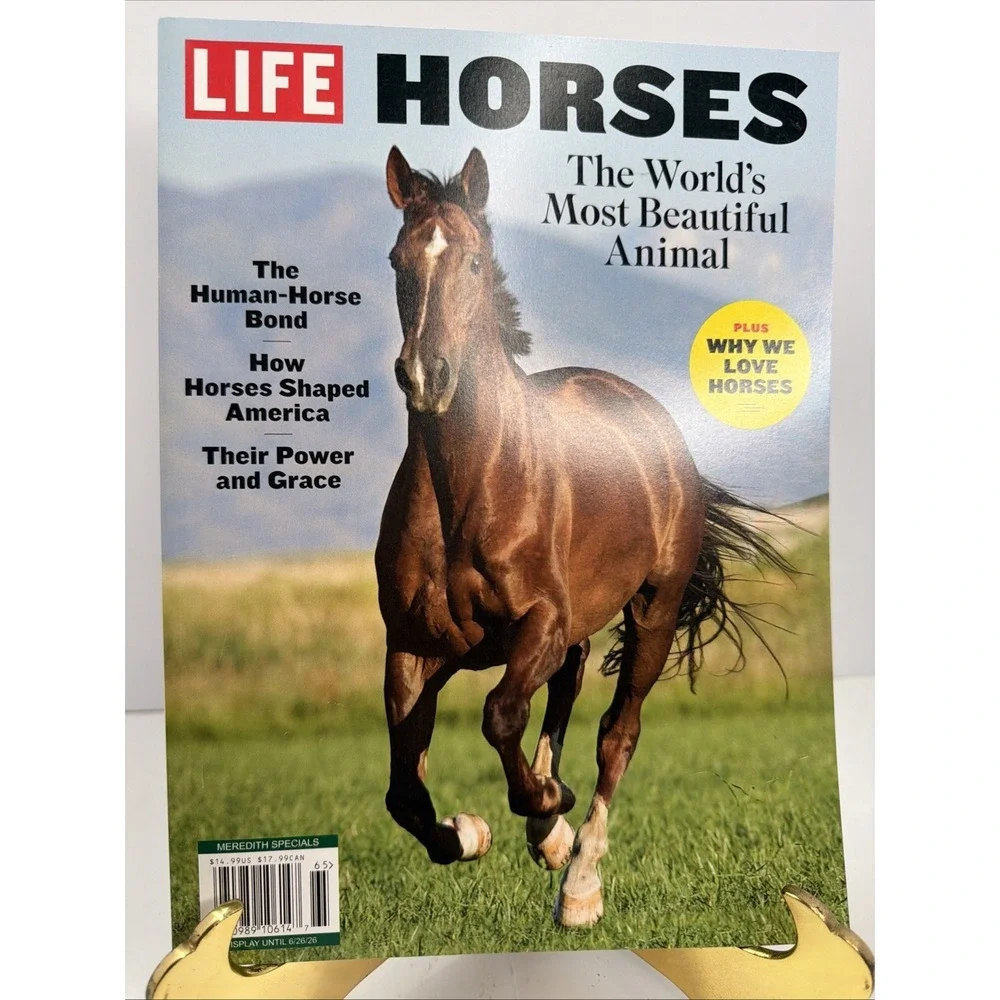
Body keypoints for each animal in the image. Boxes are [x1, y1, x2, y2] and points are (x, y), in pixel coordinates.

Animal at [374, 146, 790, 928]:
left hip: (653, 611)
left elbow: (501, 715)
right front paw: (472, 833)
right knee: (567, 685)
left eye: (473, 261)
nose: (425, 376)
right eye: (397, 259)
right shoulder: (413, 646)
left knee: (616, 735)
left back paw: (578, 878)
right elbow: (403, 794)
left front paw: (547, 818)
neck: (468, 488)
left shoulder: (538, 621)